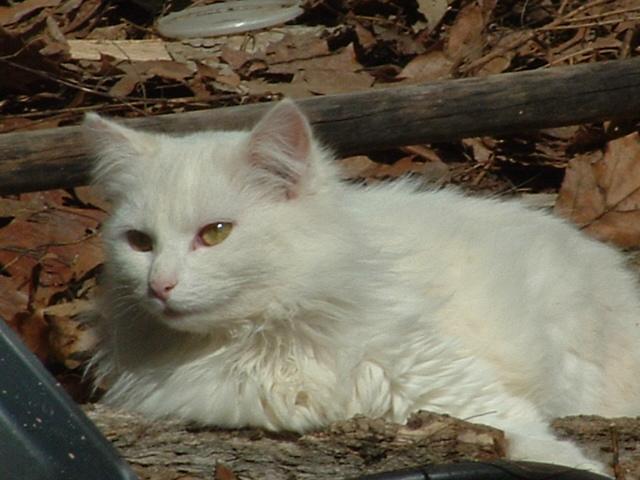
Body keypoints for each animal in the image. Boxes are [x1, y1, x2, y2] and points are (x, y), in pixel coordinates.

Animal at [84, 99, 640, 475]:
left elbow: (515, 429)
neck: (261, 338)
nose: (160, 285)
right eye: (139, 242)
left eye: (215, 233)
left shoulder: (434, 374)